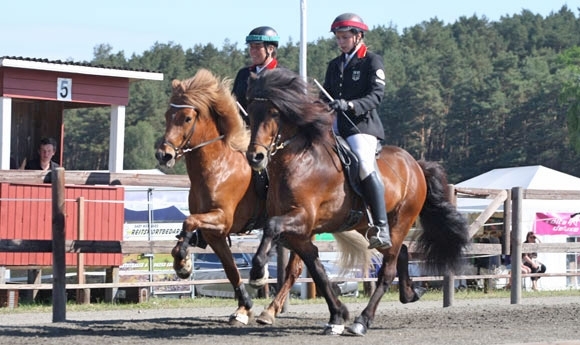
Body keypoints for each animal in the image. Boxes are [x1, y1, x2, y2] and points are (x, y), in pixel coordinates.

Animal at [156, 68, 270, 326]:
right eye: (167, 115)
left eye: (187, 118)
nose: (164, 155)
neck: (217, 166)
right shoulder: (214, 233)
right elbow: (231, 269)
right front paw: (243, 308)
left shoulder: (222, 219)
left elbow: (189, 221)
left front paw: (183, 263)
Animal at [245, 68, 472, 334]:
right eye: (250, 111)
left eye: (274, 113)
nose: (255, 157)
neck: (299, 161)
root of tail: (416, 164)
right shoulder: (299, 232)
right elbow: (317, 270)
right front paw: (337, 315)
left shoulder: (301, 218)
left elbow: (273, 229)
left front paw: (257, 273)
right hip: (368, 226)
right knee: (401, 252)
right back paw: (409, 293)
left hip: (402, 220)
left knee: (387, 270)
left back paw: (363, 321)